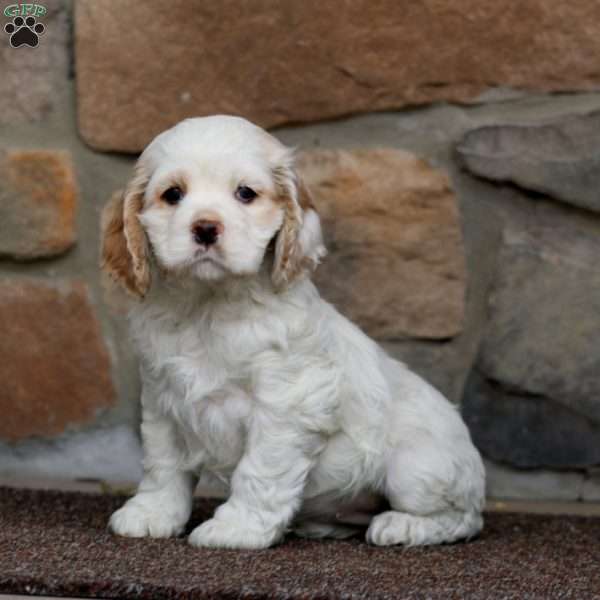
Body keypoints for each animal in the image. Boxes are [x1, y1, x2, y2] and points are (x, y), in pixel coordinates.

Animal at [102, 115, 488, 552]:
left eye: (245, 193)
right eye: (173, 194)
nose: (205, 228)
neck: (209, 307)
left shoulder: (285, 404)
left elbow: (259, 470)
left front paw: (237, 529)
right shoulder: (162, 398)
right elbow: (163, 463)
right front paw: (152, 514)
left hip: (417, 468)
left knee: (462, 518)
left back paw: (401, 526)